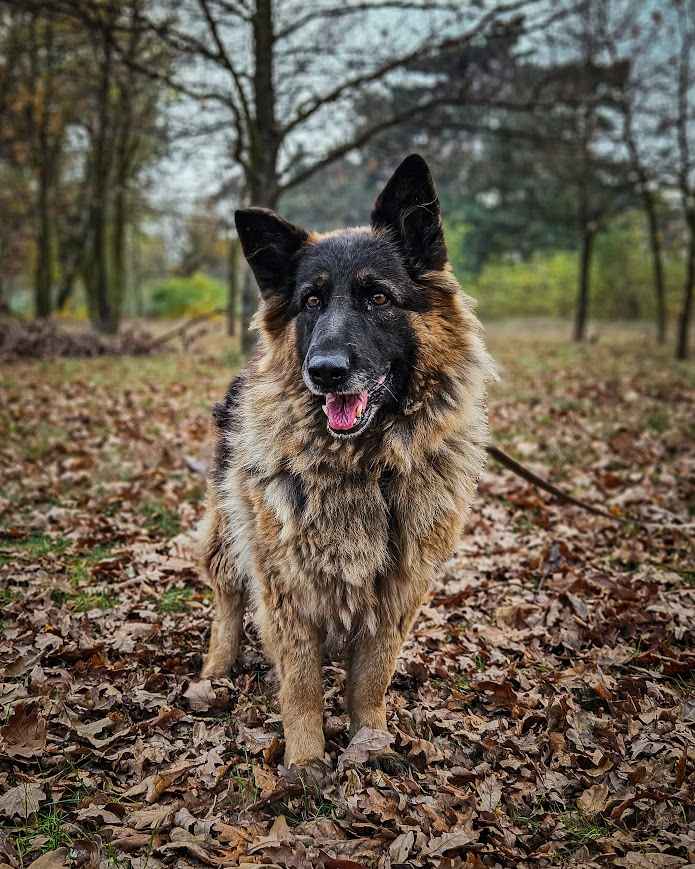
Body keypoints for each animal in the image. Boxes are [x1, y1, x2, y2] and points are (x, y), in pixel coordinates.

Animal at [201, 156, 494, 772]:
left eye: (377, 298)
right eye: (311, 302)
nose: (326, 371)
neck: (367, 466)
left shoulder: (398, 588)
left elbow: (370, 679)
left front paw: (369, 740)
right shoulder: (287, 586)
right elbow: (303, 685)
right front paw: (305, 761)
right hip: (229, 530)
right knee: (228, 596)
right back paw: (215, 669)